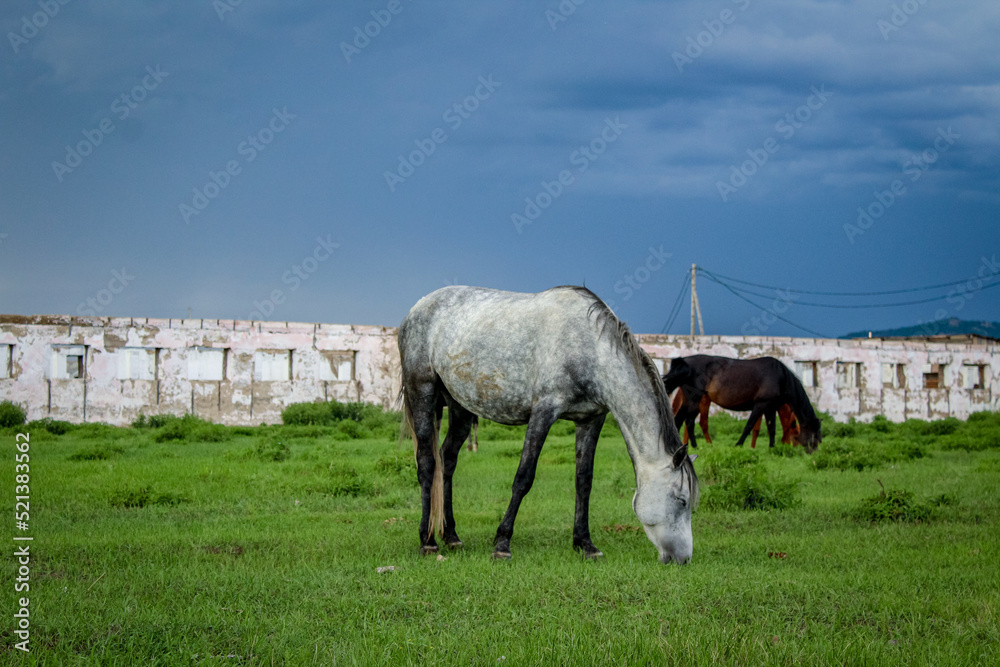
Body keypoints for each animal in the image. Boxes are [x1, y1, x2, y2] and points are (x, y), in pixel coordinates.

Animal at [399, 285, 699, 564]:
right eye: (682, 500)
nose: (683, 558)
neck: (590, 350)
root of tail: (416, 309)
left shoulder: (590, 419)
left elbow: (584, 481)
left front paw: (585, 544)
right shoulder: (544, 411)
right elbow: (523, 477)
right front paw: (502, 544)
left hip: (460, 407)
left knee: (447, 460)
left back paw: (451, 536)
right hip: (422, 391)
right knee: (427, 463)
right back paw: (428, 541)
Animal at [670, 389, 800, 448]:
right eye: (796, 433)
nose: (793, 446)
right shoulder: (761, 407)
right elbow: (757, 429)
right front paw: (752, 447)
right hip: (702, 403)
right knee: (700, 423)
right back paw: (708, 444)